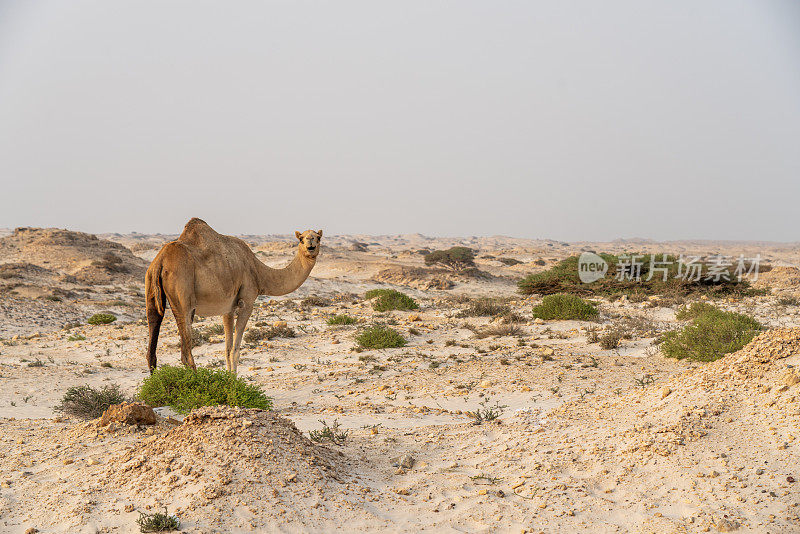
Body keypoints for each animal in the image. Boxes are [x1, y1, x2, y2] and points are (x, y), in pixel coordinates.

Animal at [145, 220, 320, 374]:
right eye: (302, 238)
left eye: (318, 237)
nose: (310, 244)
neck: (258, 272)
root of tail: (160, 262)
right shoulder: (247, 300)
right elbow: (235, 350)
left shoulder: (227, 308)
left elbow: (227, 349)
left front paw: (230, 379)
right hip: (184, 299)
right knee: (186, 353)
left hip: (150, 289)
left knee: (152, 346)